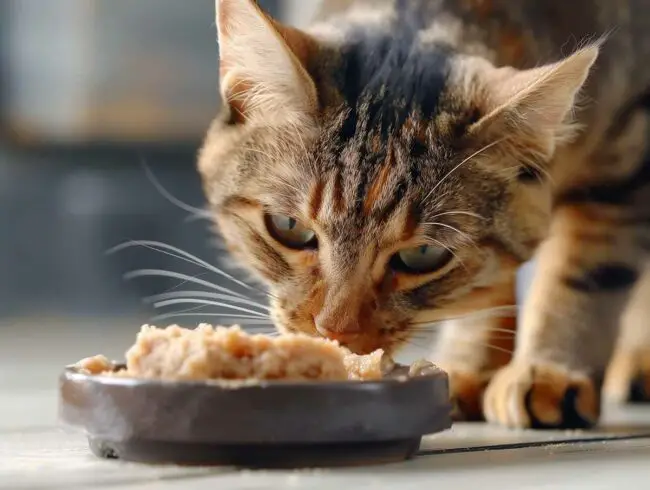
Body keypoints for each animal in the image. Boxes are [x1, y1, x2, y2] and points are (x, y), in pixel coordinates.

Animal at [197, 0, 648, 428]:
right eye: (289, 227)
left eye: (422, 256)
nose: (334, 331)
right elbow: (488, 289)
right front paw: (470, 367)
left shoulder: (622, 164)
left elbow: (582, 275)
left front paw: (549, 372)